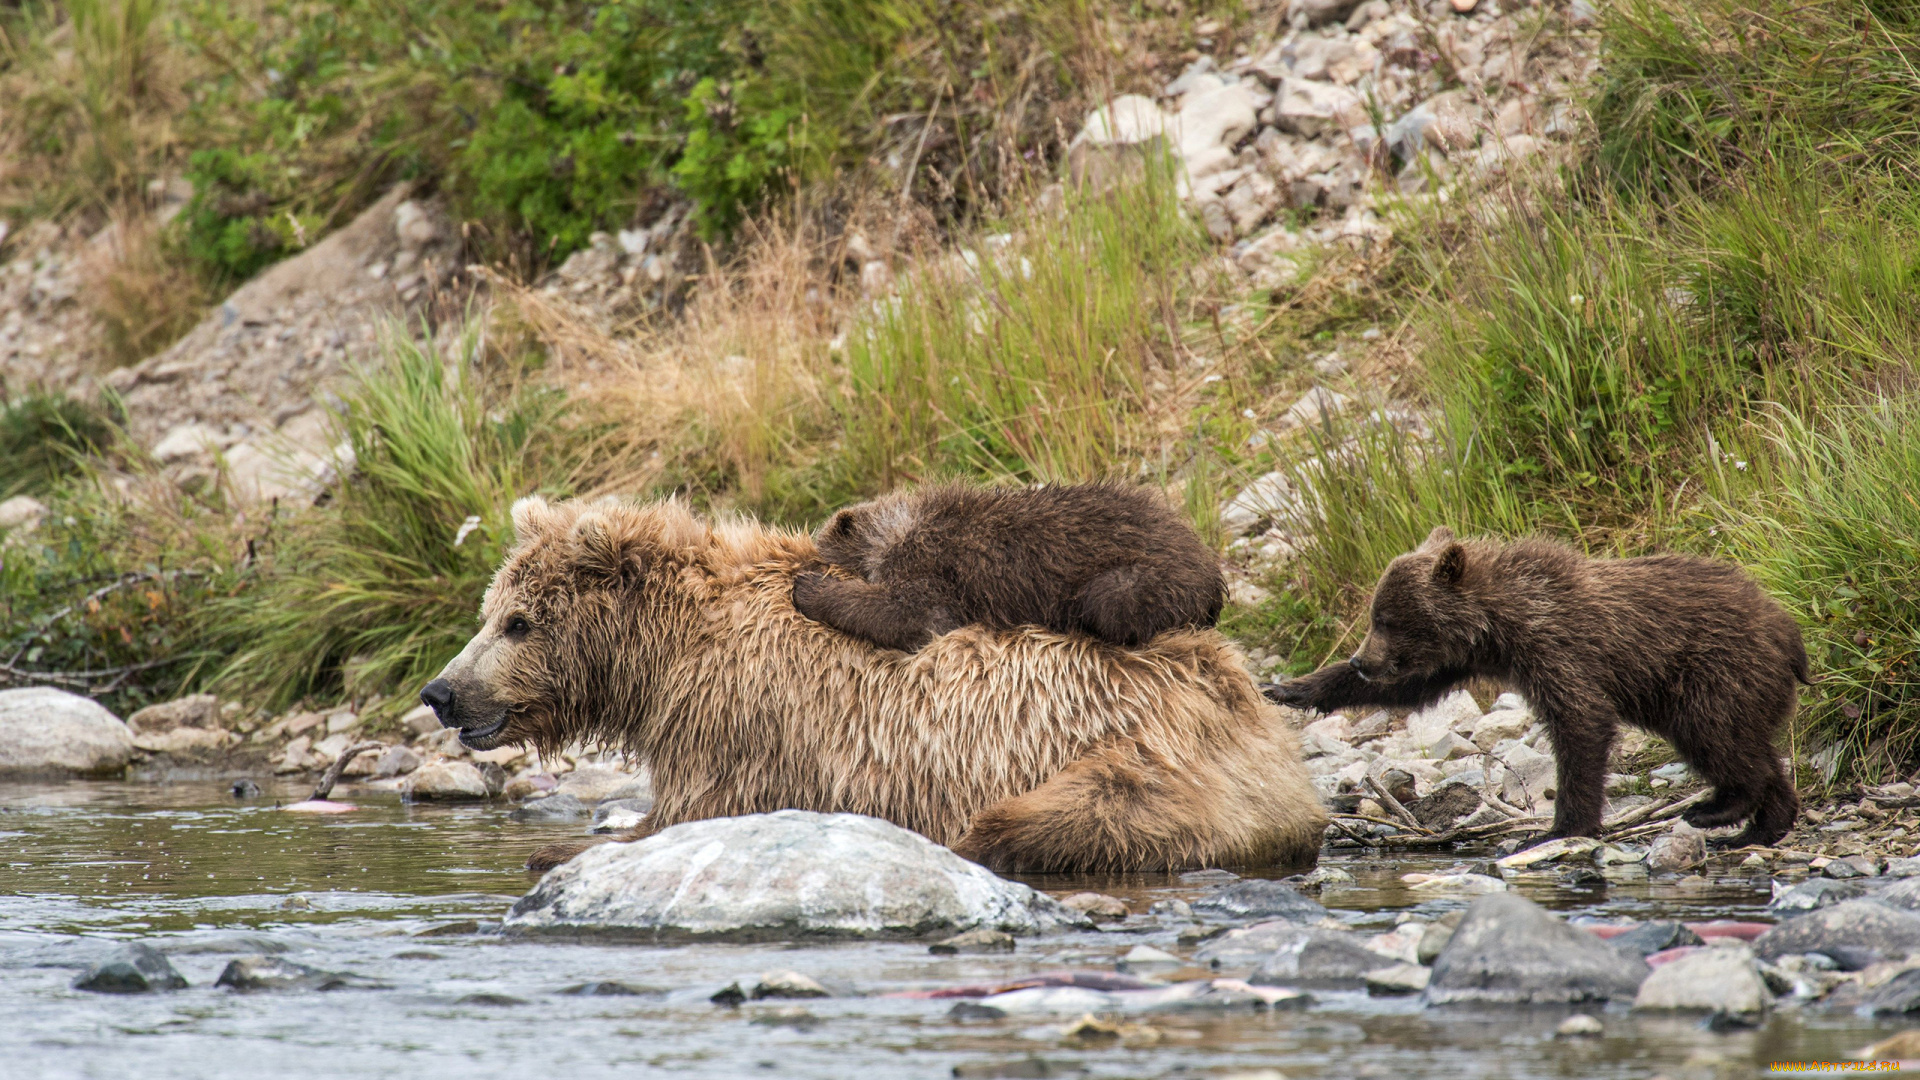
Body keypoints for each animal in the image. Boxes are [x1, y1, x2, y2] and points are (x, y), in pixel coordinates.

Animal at [422, 495, 1328, 876]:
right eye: (491, 611)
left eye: (518, 622)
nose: (441, 691)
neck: (664, 657)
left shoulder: (747, 715)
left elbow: (700, 812)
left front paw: (566, 846)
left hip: (1141, 752)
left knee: (1056, 813)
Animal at [1267, 526, 1804, 845]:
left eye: (1386, 619)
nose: (1362, 660)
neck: (1498, 625)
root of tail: (1787, 629)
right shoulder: (1464, 658)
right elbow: (1409, 686)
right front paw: (1288, 688)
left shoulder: (1557, 647)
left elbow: (1581, 721)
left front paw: (1557, 828)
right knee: (1748, 747)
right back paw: (1763, 827)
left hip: (1713, 671)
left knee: (1712, 736)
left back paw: (1718, 808)